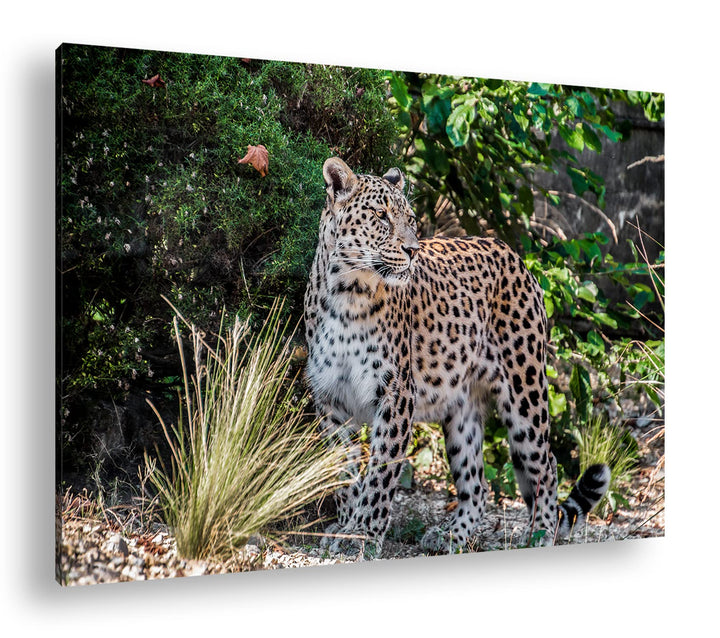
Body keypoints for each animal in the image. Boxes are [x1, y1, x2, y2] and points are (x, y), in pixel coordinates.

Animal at [304, 157, 611, 557]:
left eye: (410, 218)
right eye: (381, 216)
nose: (413, 250)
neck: (347, 291)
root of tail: (512, 253)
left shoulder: (395, 395)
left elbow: (381, 472)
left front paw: (365, 535)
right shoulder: (332, 400)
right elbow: (343, 473)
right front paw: (344, 528)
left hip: (525, 392)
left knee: (547, 464)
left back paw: (541, 532)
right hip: (461, 409)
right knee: (477, 486)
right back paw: (452, 535)